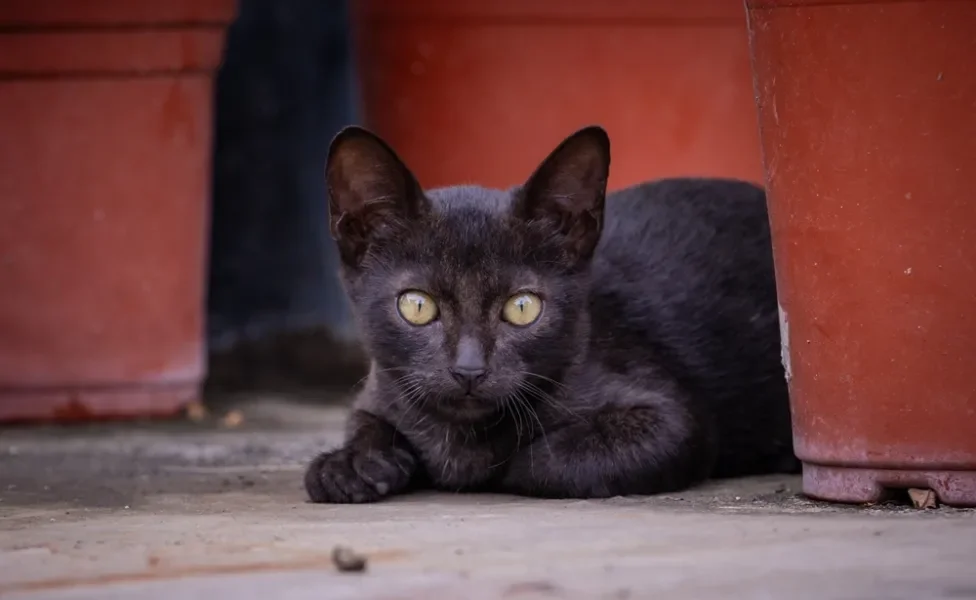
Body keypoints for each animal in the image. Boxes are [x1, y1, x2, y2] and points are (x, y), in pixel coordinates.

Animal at [304, 125, 792, 502]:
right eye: (416, 305)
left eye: (523, 308)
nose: (468, 369)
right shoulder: (378, 388)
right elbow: (362, 420)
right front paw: (351, 463)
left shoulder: (675, 421)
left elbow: (543, 461)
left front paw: (485, 465)